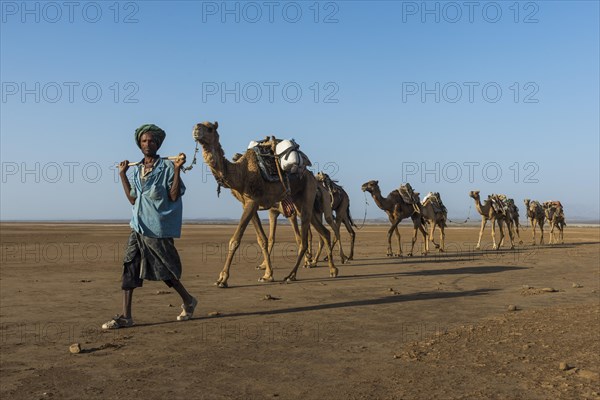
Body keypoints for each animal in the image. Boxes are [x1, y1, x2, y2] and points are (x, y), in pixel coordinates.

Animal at [196, 120, 340, 286]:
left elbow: (235, 240)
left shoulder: (253, 201)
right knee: (324, 232)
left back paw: (291, 274)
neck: (242, 173)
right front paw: (267, 274)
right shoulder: (248, 203)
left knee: (304, 240)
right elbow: (263, 239)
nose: (196, 130)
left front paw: (222, 278)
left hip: (306, 198)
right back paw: (332, 270)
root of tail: (313, 178)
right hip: (300, 204)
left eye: (210, 128)